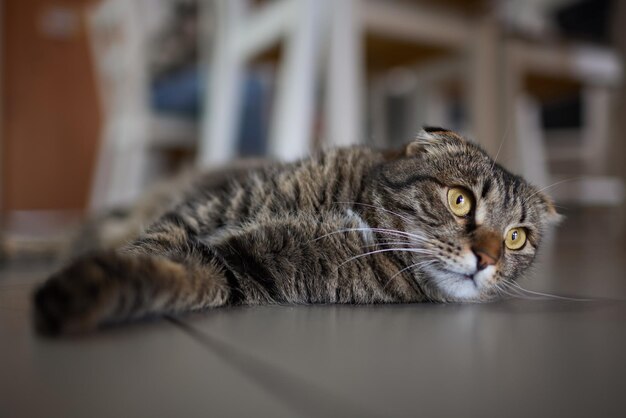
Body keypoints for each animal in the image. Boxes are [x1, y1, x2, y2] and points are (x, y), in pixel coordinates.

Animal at [31, 128, 560, 336]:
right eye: (460, 200)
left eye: (516, 238)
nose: (488, 259)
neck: (357, 213)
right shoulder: (206, 209)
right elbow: (151, 245)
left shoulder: (241, 267)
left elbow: (178, 275)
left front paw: (85, 291)